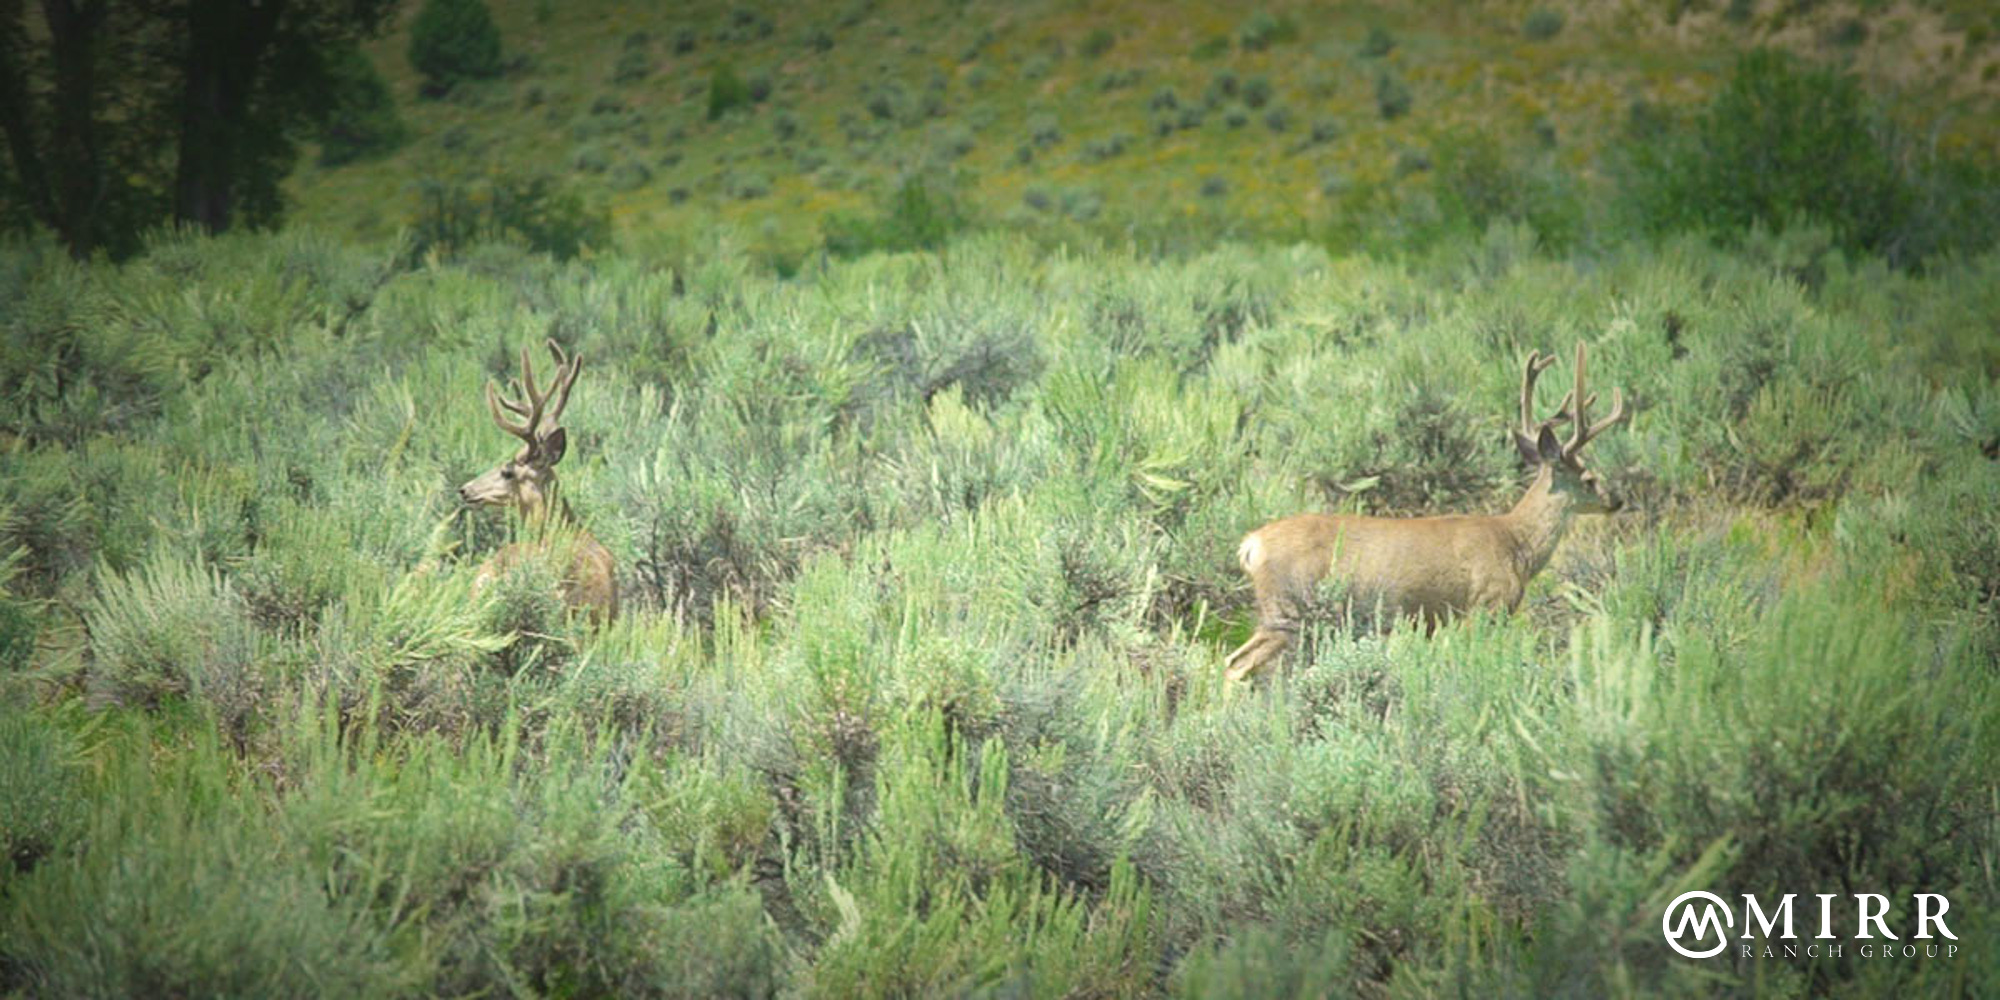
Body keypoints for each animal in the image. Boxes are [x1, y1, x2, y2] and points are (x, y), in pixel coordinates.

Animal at [1223, 342, 1628, 682]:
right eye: (1589, 477)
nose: (1617, 499)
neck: (1517, 545)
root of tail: (1250, 545)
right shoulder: (1484, 606)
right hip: (1287, 608)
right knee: (1236, 663)